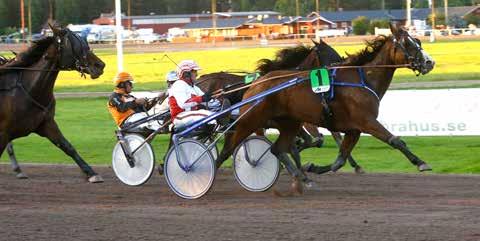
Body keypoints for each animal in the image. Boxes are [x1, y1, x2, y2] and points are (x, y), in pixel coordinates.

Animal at [0, 25, 105, 183]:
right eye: (77, 45)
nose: (100, 65)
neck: (30, 89)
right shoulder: (3, 132)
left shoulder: (47, 124)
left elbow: (67, 146)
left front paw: (91, 173)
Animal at [216, 24, 436, 194]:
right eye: (408, 44)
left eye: (418, 41)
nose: (429, 62)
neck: (363, 79)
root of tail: (255, 84)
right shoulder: (366, 121)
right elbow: (396, 141)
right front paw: (420, 162)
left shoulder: (353, 129)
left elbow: (340, 160)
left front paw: (312, 168)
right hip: (251, 120)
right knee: (227, 149)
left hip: (288, 124)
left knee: (277, 149)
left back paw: (301, 178)